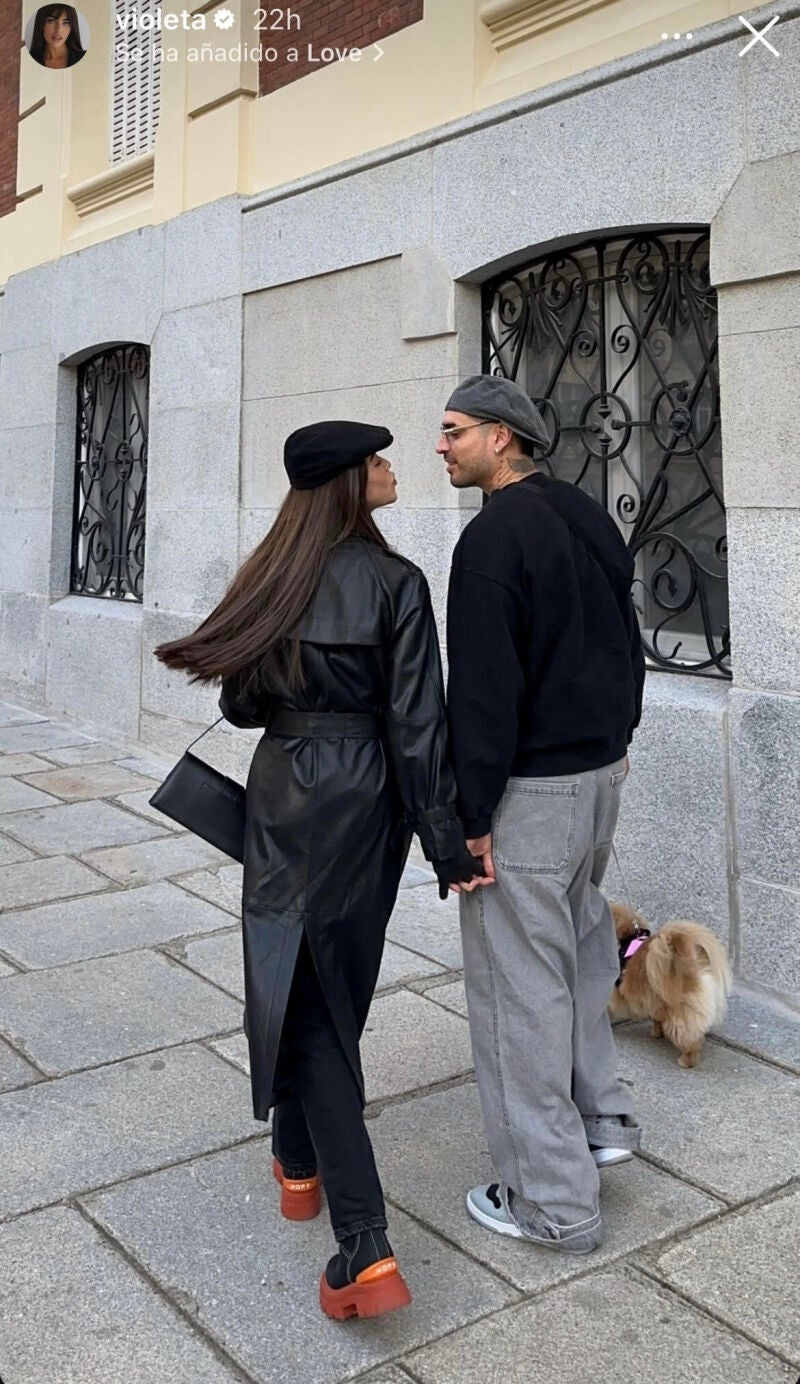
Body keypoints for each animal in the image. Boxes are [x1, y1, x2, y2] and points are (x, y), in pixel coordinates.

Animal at [603, 902, 730, 1062]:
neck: (627, 938)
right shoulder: (653, 999)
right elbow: (656, 1018)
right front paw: (657, 1032)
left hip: (679, 1013)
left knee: (689, 1038)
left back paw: (686, 1060)